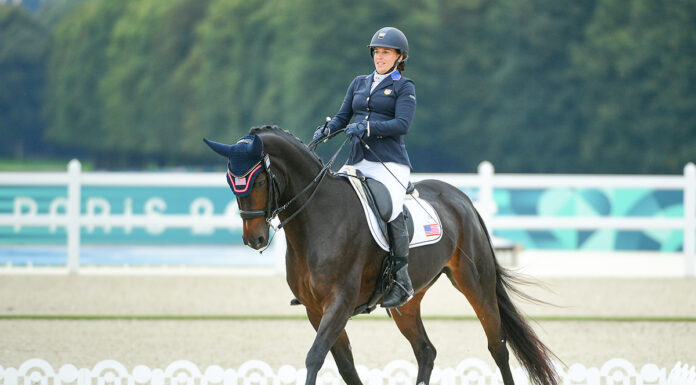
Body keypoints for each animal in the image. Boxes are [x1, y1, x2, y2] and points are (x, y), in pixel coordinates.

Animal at [203, 125, 560, 384]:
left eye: (260, 180)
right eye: (231, 182)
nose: (255, 239)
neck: (318, 218)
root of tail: (461, 198)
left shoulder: (339, 302)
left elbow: (315, 357)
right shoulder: (315, 309)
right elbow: (345, 366)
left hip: (475, 282)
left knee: (497, 346)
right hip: (407, 302)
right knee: (426, 351)